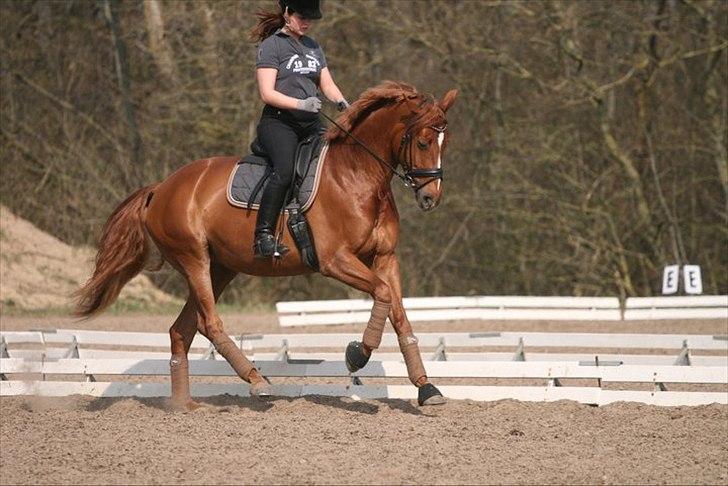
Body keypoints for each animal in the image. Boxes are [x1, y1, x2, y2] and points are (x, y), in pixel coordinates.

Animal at [77, 81, 458, 408]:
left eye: (445, 143)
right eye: (424, 142)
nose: (430, 198)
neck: (358, 175)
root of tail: (160, 188)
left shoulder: (384, 257)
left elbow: (398, 313)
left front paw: (426, 388)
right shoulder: (335, 260)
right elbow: (382, 293)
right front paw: (356, 354)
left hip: (220, 268)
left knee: (182, 330)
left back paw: (185, 405)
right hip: (194, 259)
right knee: (209, 323)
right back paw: (257, 381)